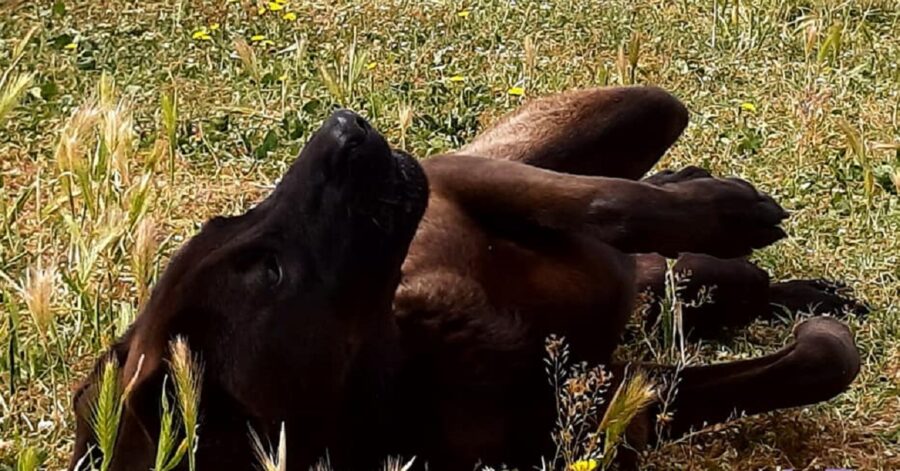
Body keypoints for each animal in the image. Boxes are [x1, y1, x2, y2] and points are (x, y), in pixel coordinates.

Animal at [67, 86, 860, 470]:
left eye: (226, 220)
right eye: (270, 271)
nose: (343, 126)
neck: (408, 355)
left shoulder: (455, 177)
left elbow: (606, 202)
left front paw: (727, 212)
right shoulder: (599, 410)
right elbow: (823, 361)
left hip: (617, 116)